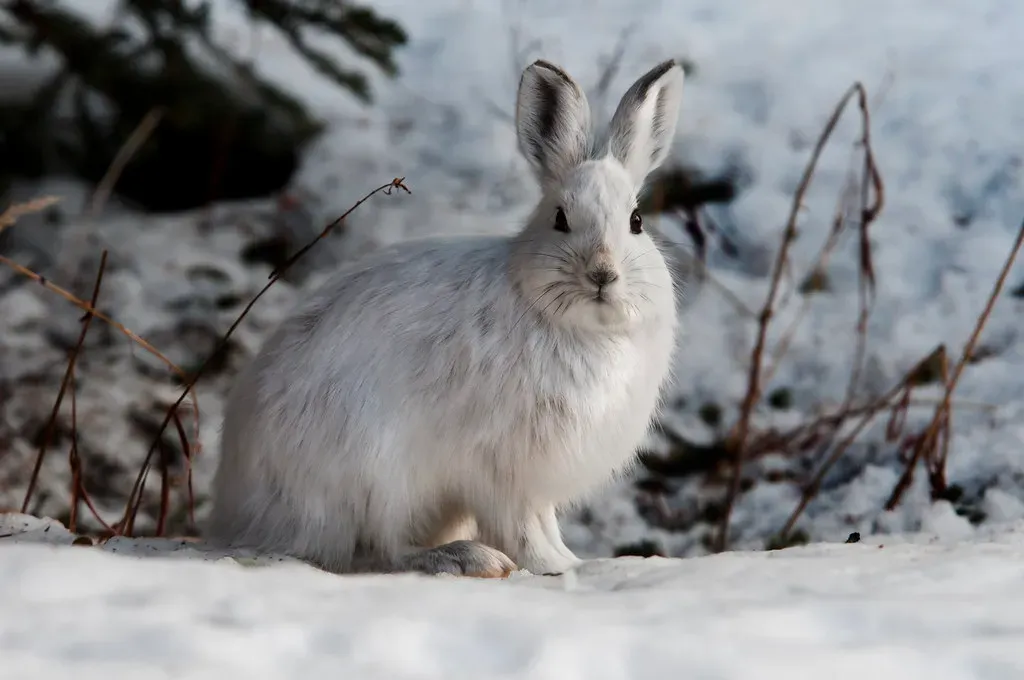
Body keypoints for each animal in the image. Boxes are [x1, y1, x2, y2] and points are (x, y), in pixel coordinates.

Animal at [207, 57, 686, 577]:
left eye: (636, 222)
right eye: (560, 219)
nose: (602, 274)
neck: (580, 328)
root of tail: (242, 514)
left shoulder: (533, 482)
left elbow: (544, 522)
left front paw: (570, 561)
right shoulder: (503, 469)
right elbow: (521, 526)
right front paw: (550, 567)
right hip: (376, 475)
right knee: (383, 549)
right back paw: (466, 558)